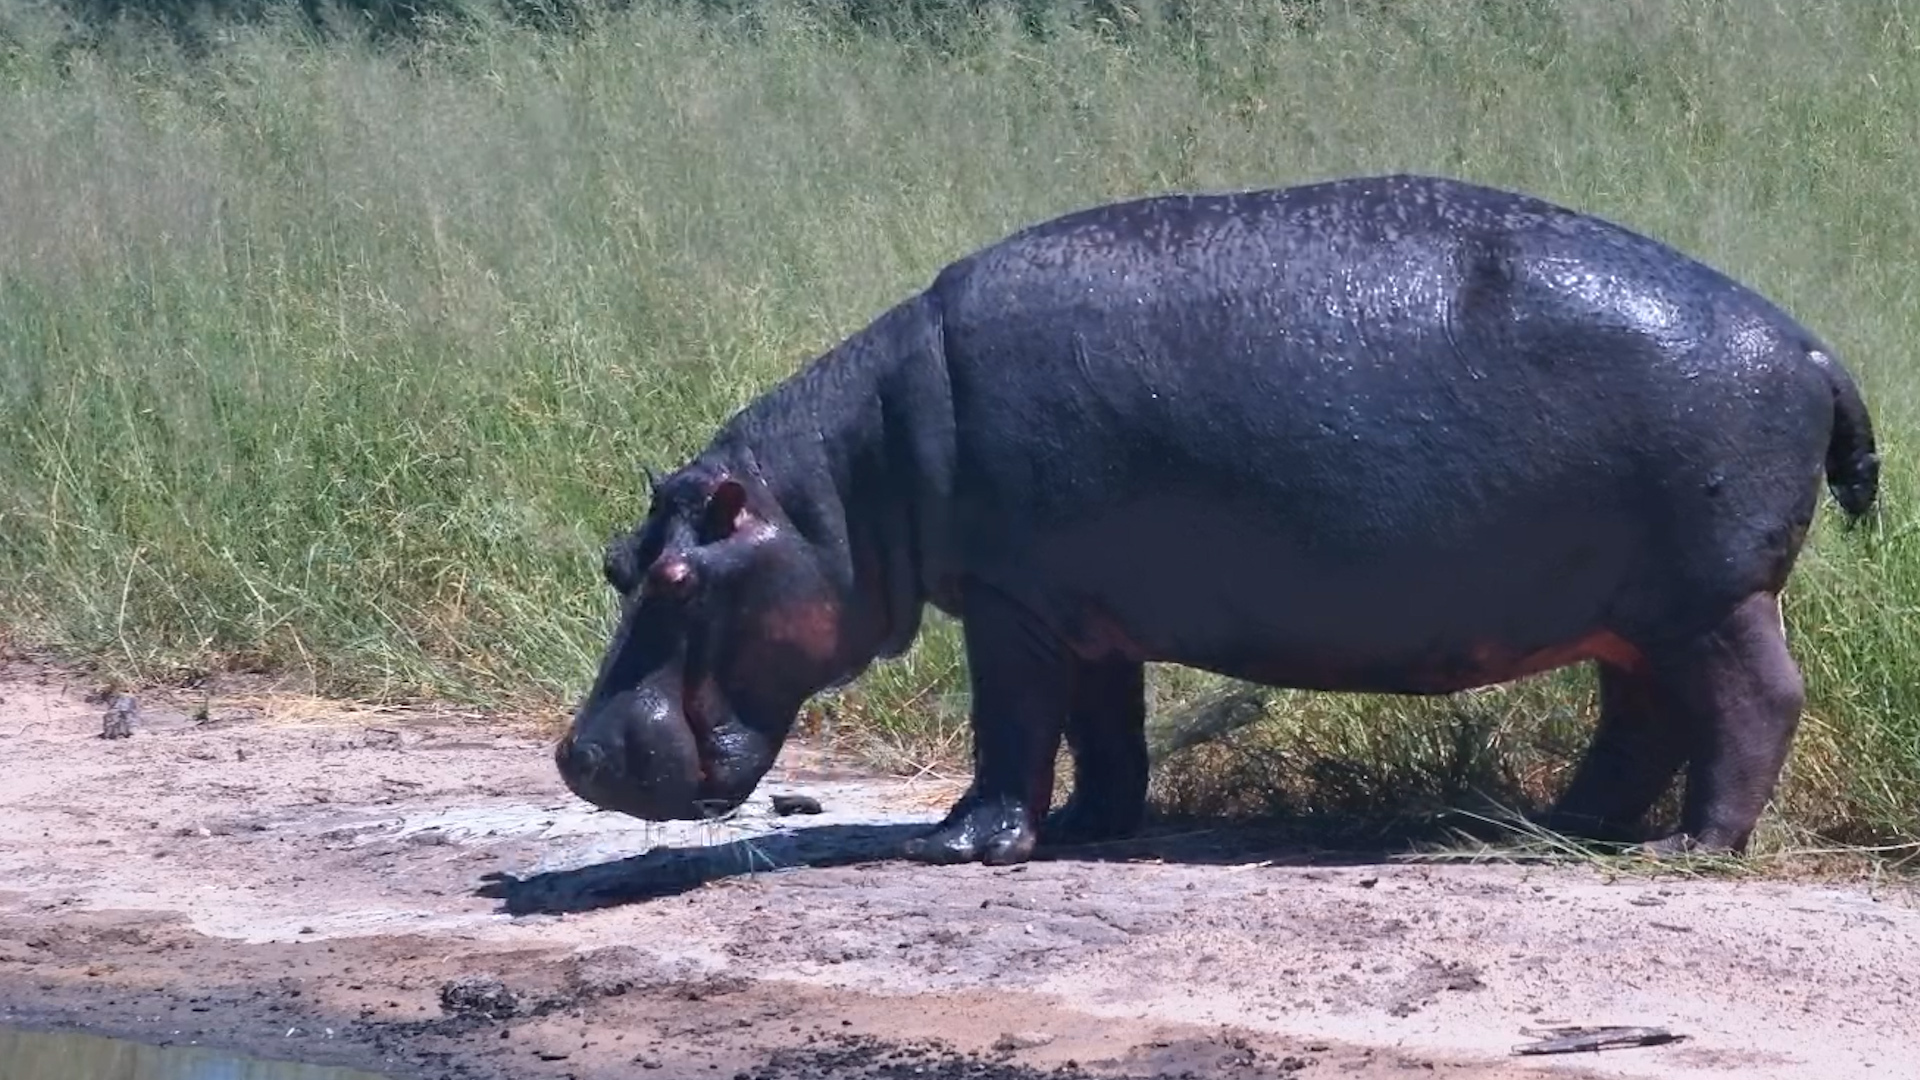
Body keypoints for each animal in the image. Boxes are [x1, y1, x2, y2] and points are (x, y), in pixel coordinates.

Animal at [555, 173, 1879, 866]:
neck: (840, 488)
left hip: (1709, 598)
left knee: (1753, 704)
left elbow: (1011, 725)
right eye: (619, 560)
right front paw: (1091, 829)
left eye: (677, 579)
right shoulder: (1081, 610)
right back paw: (1550, 827)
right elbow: (1104, 732)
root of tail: (1812, 343)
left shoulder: (1010, 607)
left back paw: (1685, 851)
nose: (575, 753)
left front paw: (960, 843)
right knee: (1641, 717)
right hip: (1631, 609)